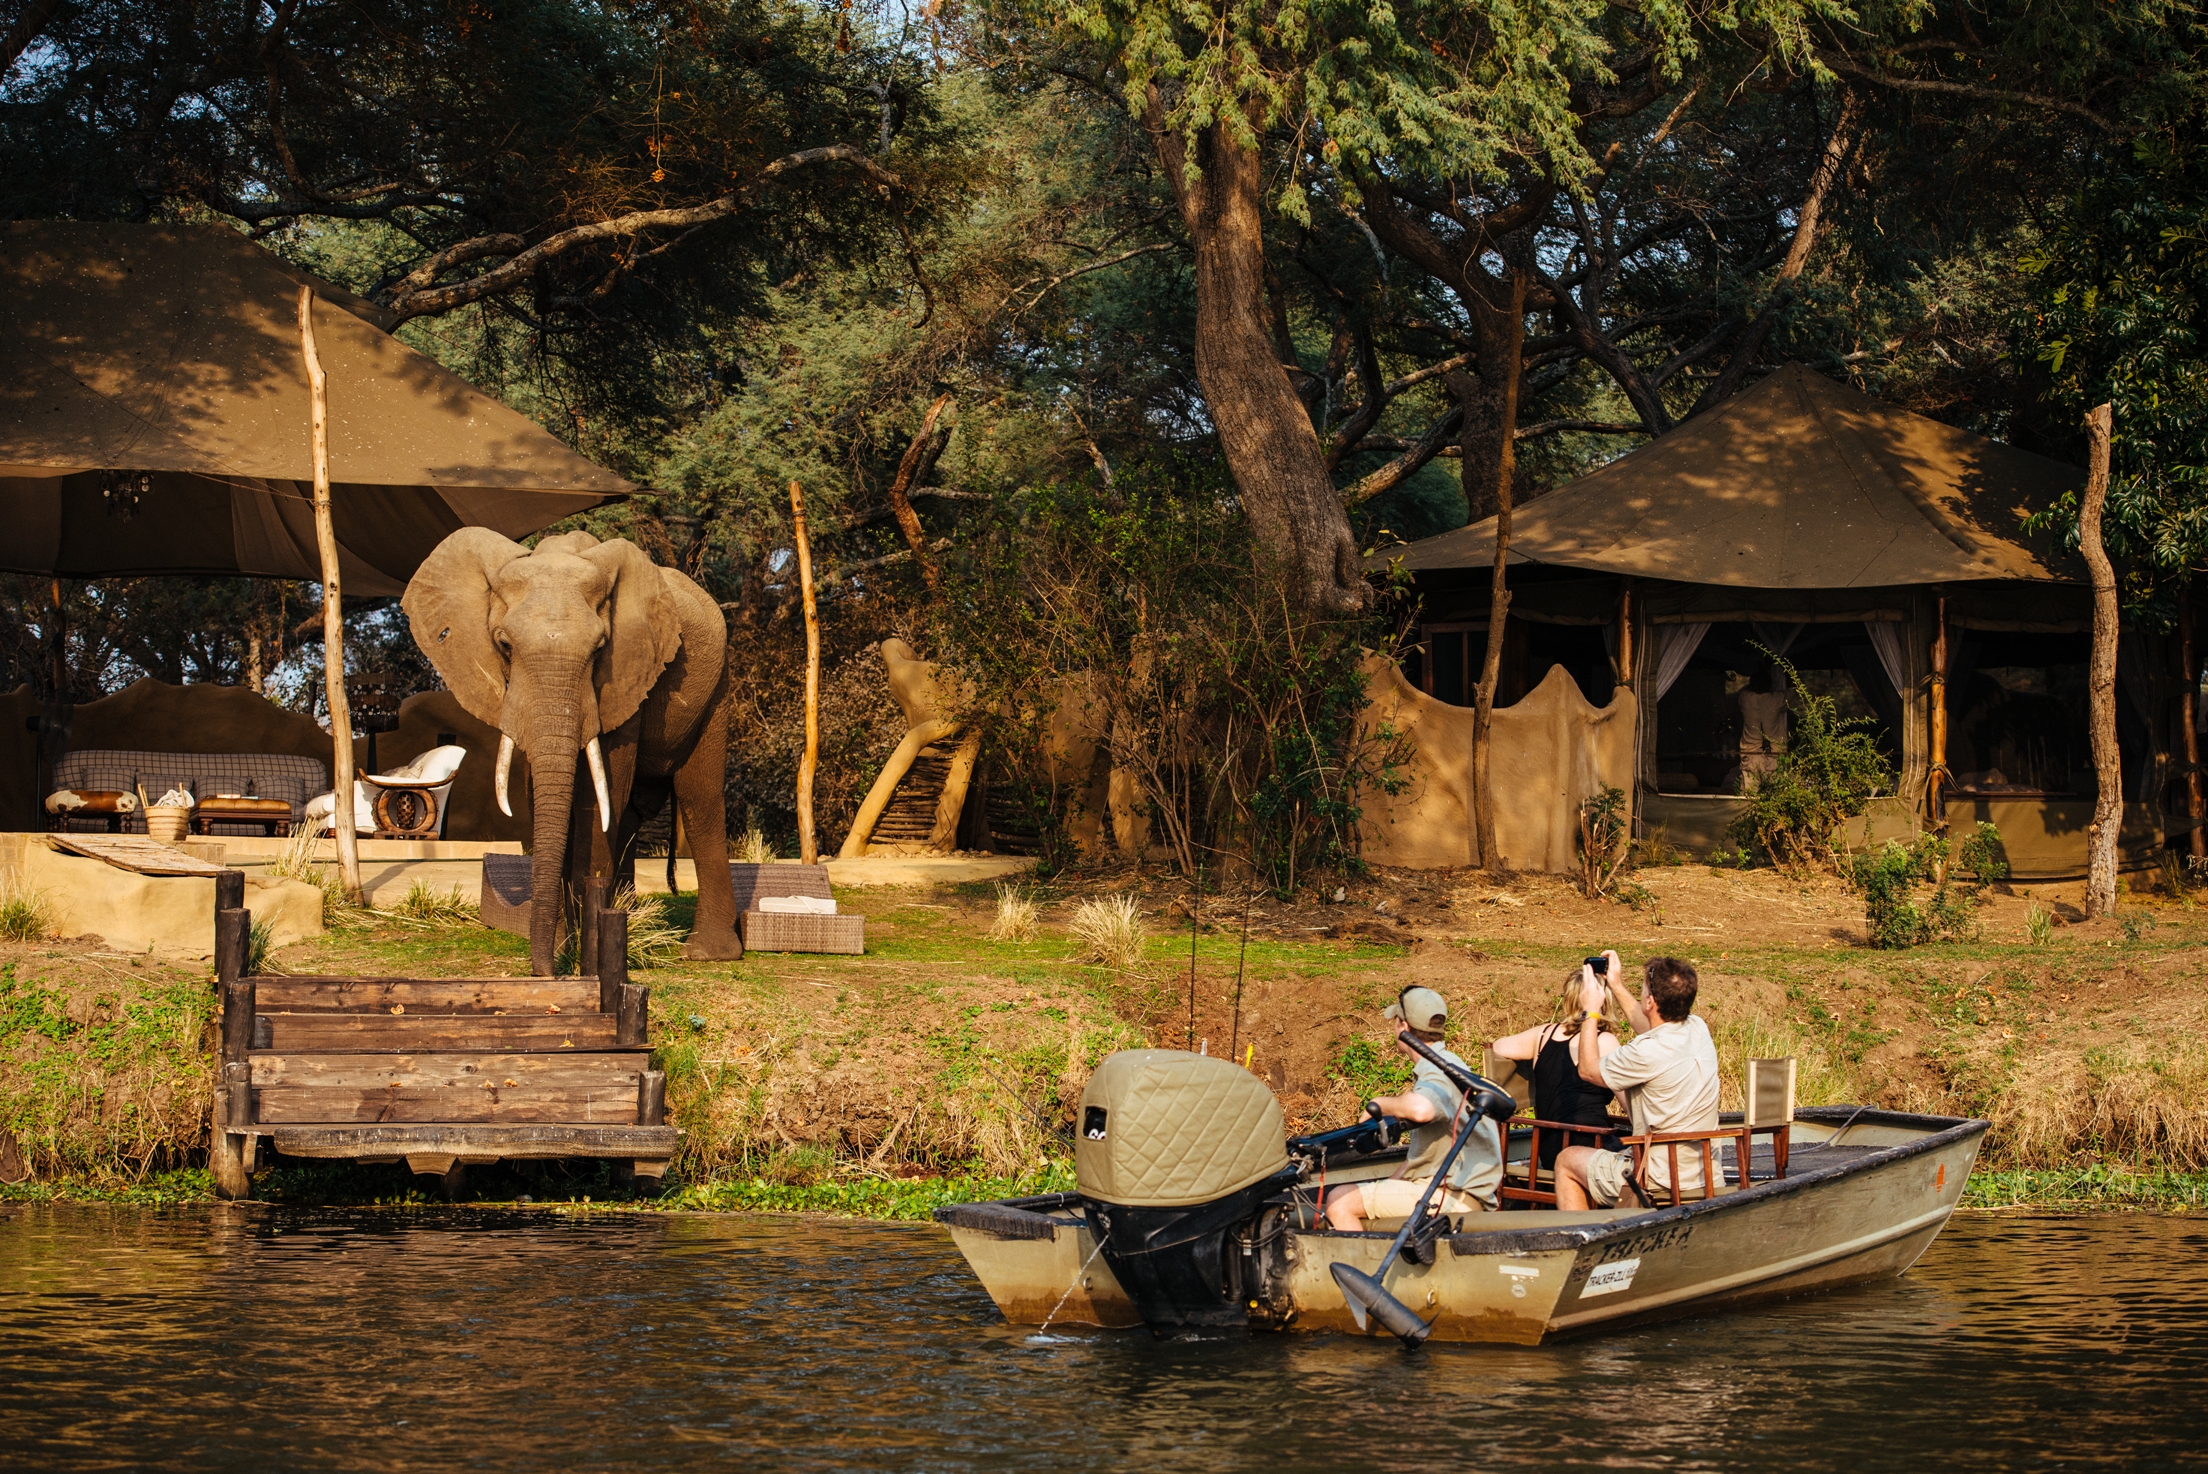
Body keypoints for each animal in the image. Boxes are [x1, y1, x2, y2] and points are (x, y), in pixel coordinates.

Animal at [399, 522, 741, 970]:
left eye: (599, 649)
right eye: (504, 645)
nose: (545, 973)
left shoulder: (625, 673)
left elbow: (599, 796)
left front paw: (582, 958)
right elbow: (542, 793)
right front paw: (566, 949)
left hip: (717, 686)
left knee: (699, 797)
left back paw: (706, 953)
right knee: (632, 812)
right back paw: (628, 916)